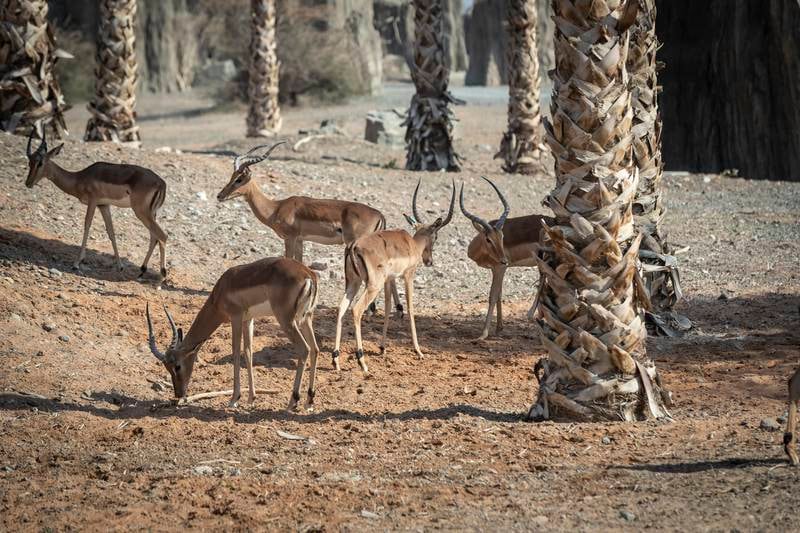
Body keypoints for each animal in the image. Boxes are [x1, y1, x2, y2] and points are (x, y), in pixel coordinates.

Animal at [24, 130, 167, 278]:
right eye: (30, 162)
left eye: (40, 163)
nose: (28, 183)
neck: (79, 178)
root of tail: (161, 183)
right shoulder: (103, 205)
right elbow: (111, 232)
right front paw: (120, 266)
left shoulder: (92, 202)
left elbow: (87, 225)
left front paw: (76, 263)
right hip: (151, 214)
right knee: (154, 237)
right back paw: (142, 270)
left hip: (141, 212)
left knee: (162, 236)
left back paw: (162, 274)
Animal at [145, 256, 320, 410]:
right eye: (167, 367)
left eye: (177, 366)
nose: (179, 394)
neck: (221, 291)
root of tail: (308, 275)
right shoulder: (248, 320)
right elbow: (248, 353)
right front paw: (251, 399)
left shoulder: (235, 317)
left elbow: (236, 352)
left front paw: (234, 399)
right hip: (306, 318)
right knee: (315, 349)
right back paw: (309, 401)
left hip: (286, 320)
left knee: (304, 349)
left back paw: (293, 402)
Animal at [217, 140, 404, 316]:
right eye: (232, 176)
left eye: (239, 179)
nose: (220, 195)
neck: (276, 208)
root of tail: (379, 214)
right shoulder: (300, 240)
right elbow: (300, 262)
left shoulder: (290, 238)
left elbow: (288, 258)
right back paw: (398, 309)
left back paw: (374, 309)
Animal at [332, 178, 456, 370]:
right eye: (436, 237)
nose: (429, 261)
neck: (412, 244)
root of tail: (354, 246)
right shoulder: (408, 276)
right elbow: (410, 308)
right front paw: (418, 351)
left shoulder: (388, 280)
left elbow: (389, 306)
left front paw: (382, 348)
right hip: (371, 286)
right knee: (356, 310)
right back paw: (362, 361)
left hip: (353, 283)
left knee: (341, 308)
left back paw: (336, 360)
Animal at [460, 177, 552, 338]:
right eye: (488, 238)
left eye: (502, 236)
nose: (504, 259)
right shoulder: (496, 269)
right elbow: (499, 294)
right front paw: (499, 328)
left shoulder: (500, 268)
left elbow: (492, 295)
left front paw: (483, 334)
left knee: (544, 278)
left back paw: (530, 315)